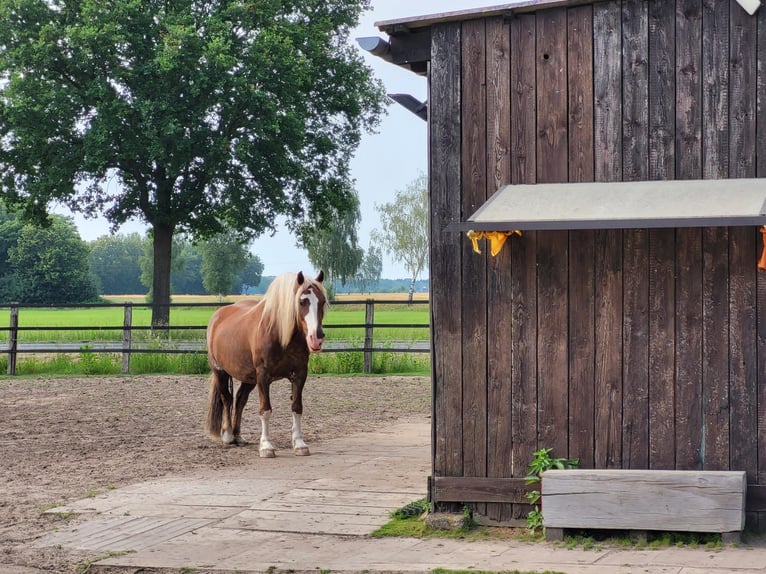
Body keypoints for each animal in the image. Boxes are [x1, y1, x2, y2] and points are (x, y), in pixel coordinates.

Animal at [207, 272, 330, 460]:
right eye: (302, 301)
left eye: (322, 301)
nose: (316, 338)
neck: (280, 333)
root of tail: (218, 316)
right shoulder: (263, 376)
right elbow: (265, 410)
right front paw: (266, 446)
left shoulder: (300, 374)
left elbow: (297, 407)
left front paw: (299, 444)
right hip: (220, 371)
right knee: (227, 399)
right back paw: (227, 436)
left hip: (249, 378)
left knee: (240, 399)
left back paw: (238, 436)